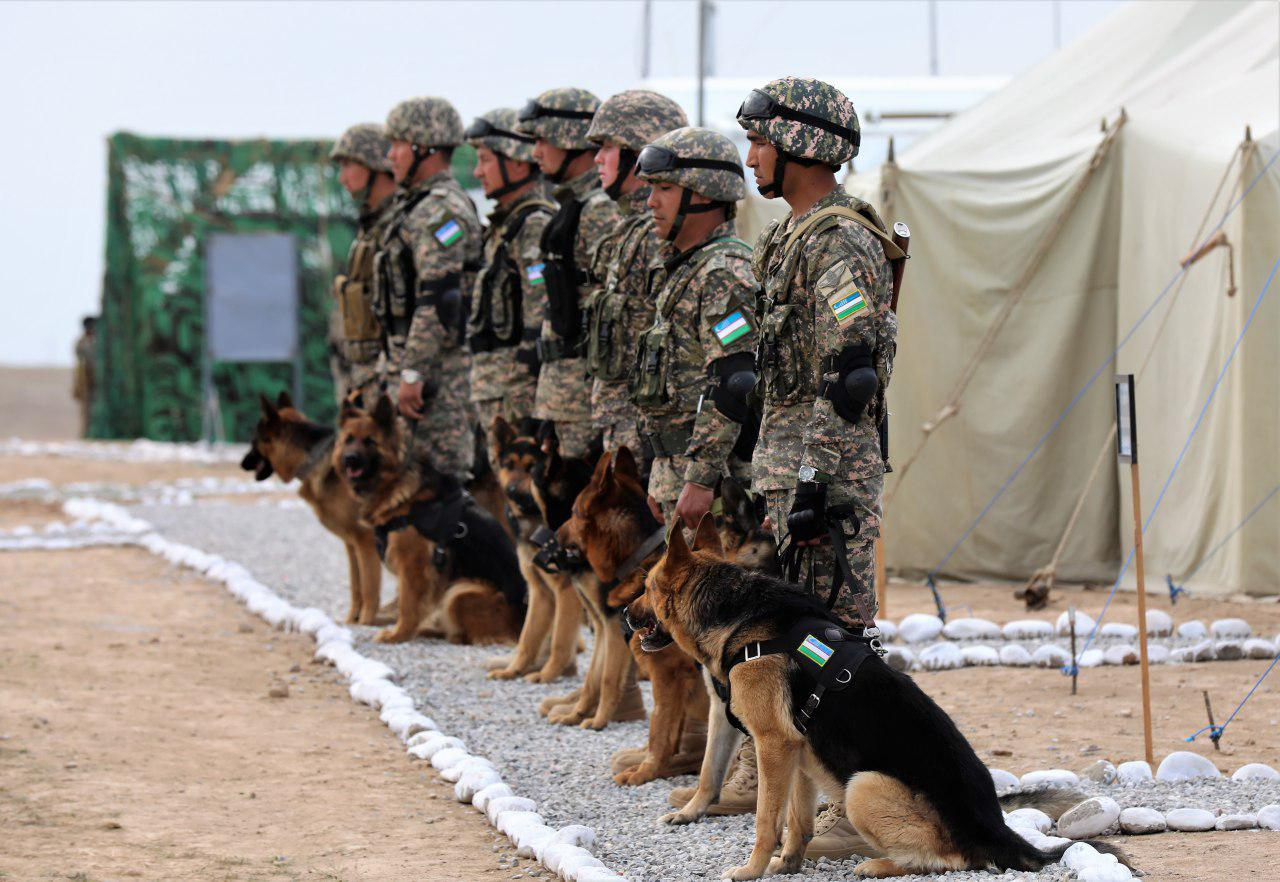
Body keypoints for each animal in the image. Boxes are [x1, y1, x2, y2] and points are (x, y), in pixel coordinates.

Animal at [240, 391, 378, 627]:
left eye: (253, 441)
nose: (241, 463)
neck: (314, 458)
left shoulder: (365, 540)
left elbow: (369, 586)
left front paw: (366, 622)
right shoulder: (352, 544)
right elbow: (356, 585)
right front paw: (352, 619)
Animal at [335, 396, 529, 642]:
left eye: (369, 441)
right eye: (348, 440)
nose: (349, 459)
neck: (395, 485)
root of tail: (521, 623)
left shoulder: (413, 564)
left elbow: (407, 604)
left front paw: (398, 634)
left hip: (459, 591)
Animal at [634, 517, 1126, 880]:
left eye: (647, 587)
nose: (624, 614)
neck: (736, 611)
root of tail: (996, 829)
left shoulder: (773, 743)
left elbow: (765, 820)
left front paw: (751, 870)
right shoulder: (798, 750)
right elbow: (796, 821)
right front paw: (787, 864)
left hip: (864, 786)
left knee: (954, 860)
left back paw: (879, 864)